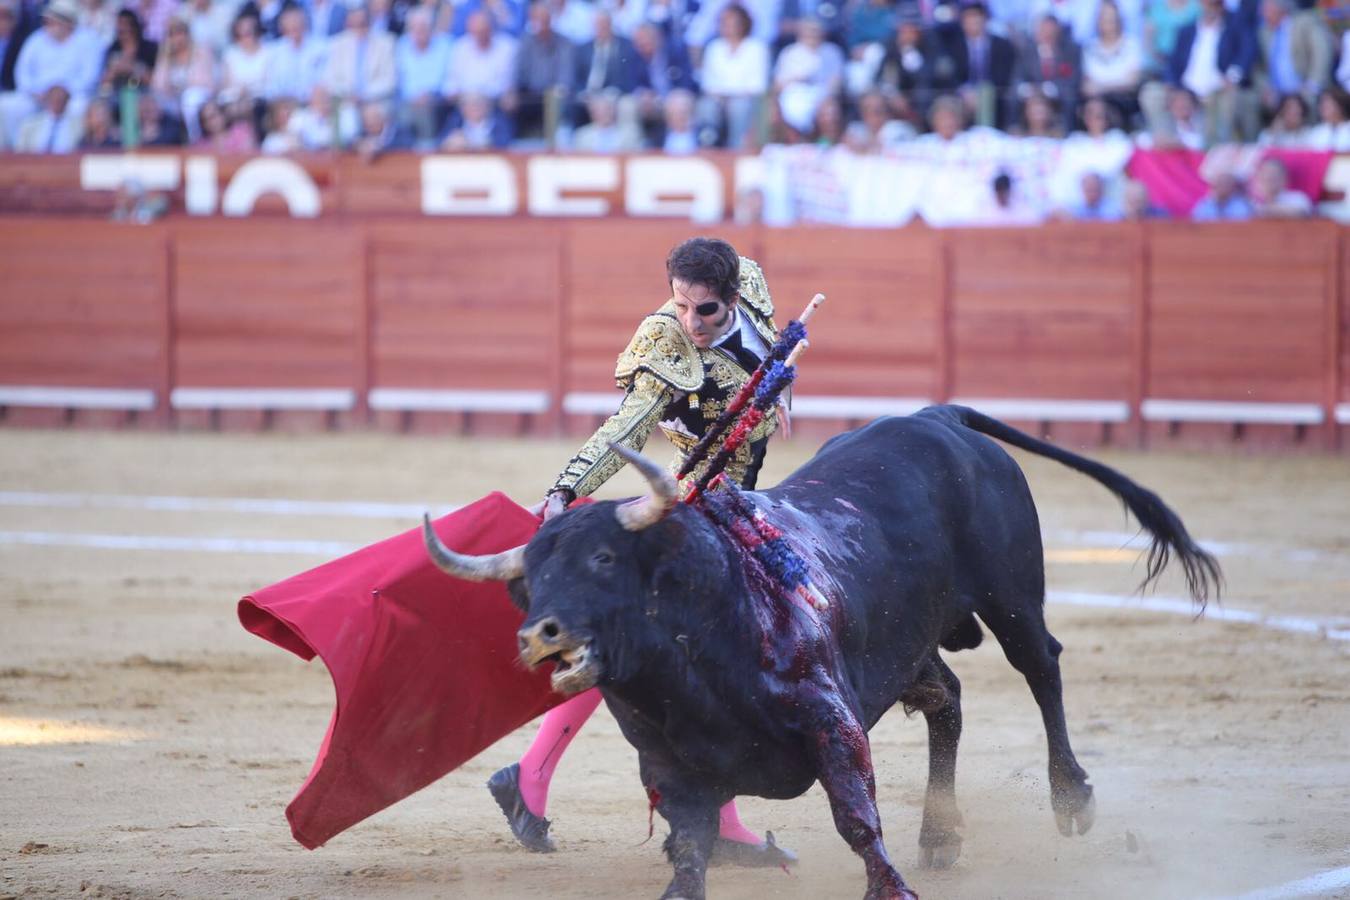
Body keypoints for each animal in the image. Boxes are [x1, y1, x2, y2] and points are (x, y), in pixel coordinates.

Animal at [423, 407, 1225, 900]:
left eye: (603, 560)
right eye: (526, 586)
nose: (540, 634)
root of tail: (938, 419)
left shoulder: (829, 719)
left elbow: (856, 818)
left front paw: (892, 889)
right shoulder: (668, 766)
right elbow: (689, 848)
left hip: (1012, 596)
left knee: (1043, 669)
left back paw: (1071, 798)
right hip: (911, 642)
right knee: (949, 700)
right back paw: (941, 834)